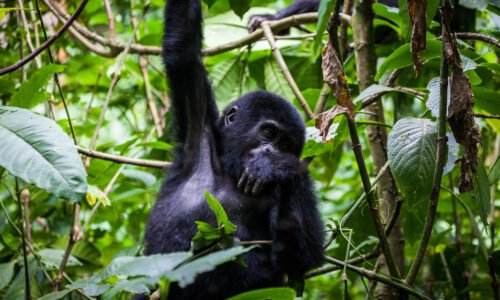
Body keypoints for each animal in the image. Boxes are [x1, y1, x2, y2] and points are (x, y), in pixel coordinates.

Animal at [142, 0, 328, 300]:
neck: (228, 172)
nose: (270, 150)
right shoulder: (198, 126)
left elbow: (298, 259)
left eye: (285, 145)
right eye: (268, 133)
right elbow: (183, 50)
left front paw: (277, 166)